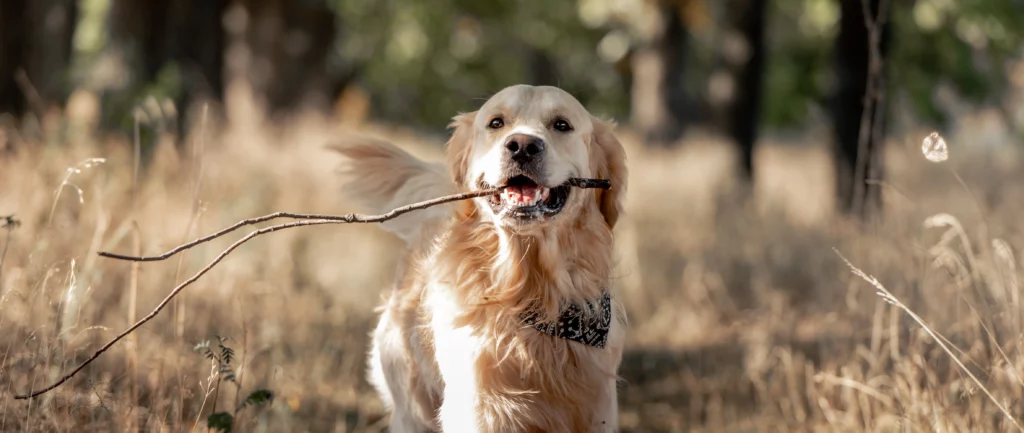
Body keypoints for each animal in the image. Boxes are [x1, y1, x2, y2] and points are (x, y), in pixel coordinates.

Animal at [331, 85, 626, 433]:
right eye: (496, 123)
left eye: (562, 125)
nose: (522, 146)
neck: (528, 290)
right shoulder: (480, 410)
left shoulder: (596, 409)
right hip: (411, 405)